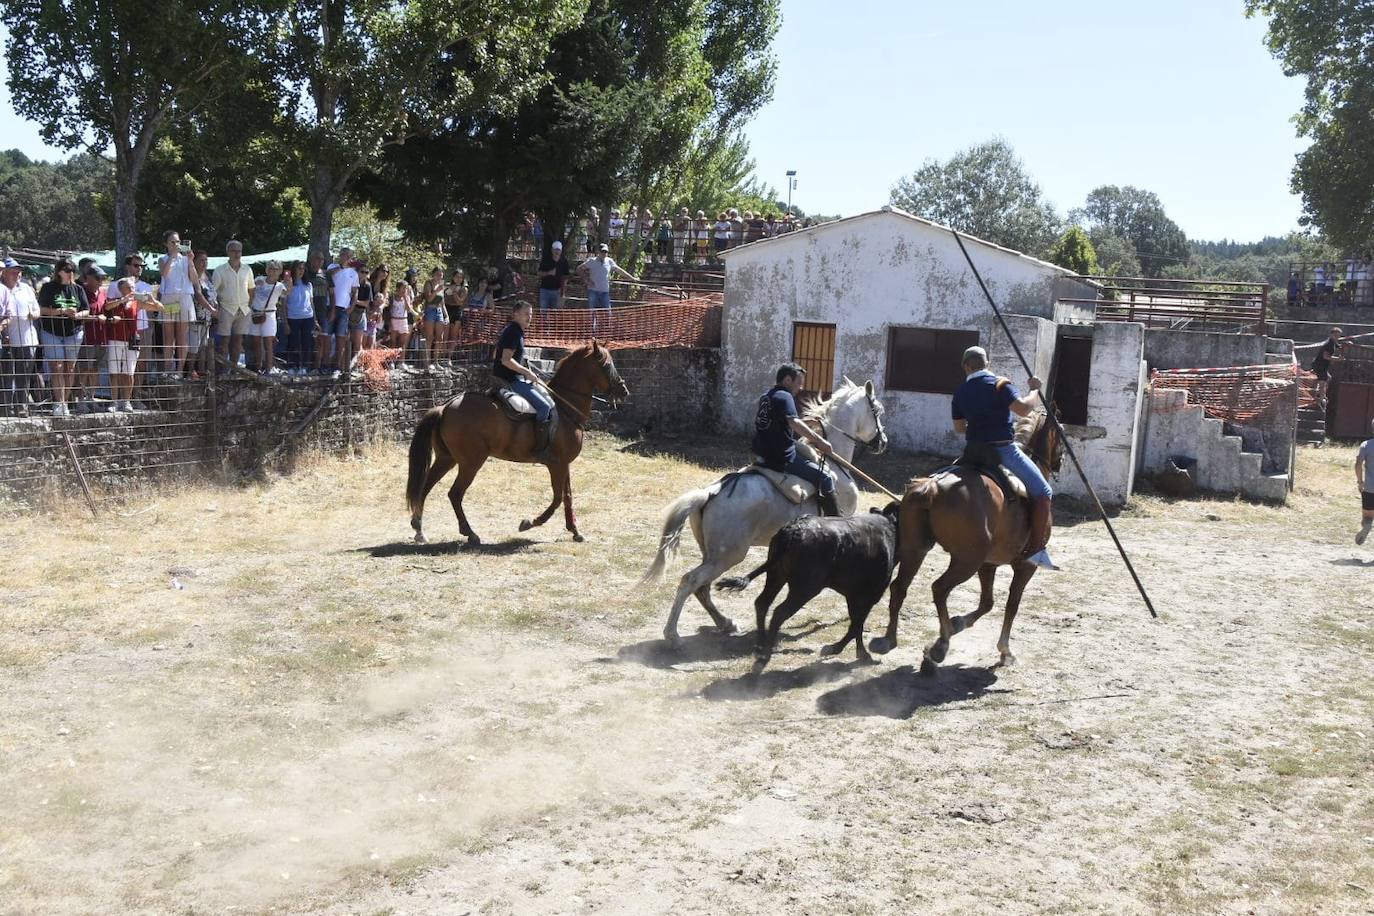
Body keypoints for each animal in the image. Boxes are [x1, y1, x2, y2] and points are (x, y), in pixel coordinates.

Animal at [401, 341, 629, 543]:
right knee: (455, 494)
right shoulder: (557, 464)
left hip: (447, 459)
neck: (565, 410)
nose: (623, 391)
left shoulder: (564, 465)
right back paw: (470, 533)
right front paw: (529, 523)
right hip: (470, 463)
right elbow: (557, 498)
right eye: (606, 365)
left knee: (425, 487)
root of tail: (445, 407)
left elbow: (568, 496)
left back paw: (419, 529)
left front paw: (575, 531)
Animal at [643, 376, 890, 642]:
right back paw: (672, 634)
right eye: (877, 410)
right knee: (691, 581)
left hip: (712, 554)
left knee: (702, 588)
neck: (834, 462)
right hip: (729, 554)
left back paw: (725, 623)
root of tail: (710, 493)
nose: (883, 442)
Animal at [719, 505, 901, 678]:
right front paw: (839, 649)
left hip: (776, 575)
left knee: (762, 602)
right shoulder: (870, 596)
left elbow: (857, 624)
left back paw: (760, 646)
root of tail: (792, 532)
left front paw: (859, 653)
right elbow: (856, 625)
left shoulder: (853, 596)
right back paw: (763, 659)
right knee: (779, 612)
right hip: (805, 589)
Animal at [868, 409, 1060, 672]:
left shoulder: (988, 564)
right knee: (939, 588)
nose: (1060, 461)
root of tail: (932, 488)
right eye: (1060, 432)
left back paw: (889, 639)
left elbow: (987, 602)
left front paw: (958, 622)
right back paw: (941, 645)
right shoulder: (1025, 566)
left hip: (915, 549)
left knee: (900, 587)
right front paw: (1005, 651)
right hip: (966, 561)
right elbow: (1012, 604)